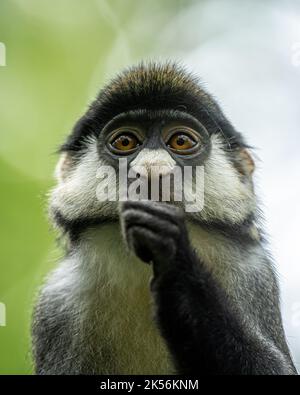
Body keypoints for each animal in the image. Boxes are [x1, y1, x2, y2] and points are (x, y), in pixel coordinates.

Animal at [31, 61, 298, 374]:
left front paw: (175, 261)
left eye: (180, 141)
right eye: (125, 141)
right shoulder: (57, 305)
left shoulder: (254, 274)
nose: (152, 170)